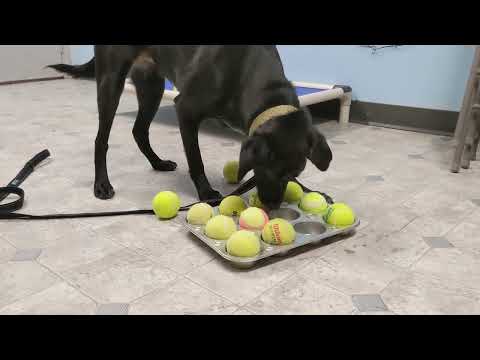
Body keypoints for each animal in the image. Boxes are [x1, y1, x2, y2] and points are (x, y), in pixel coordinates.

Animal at [49, 45, 334, 210]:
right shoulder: (185, 109)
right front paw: (206, 192)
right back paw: (102, 184)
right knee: (102, 139)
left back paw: (158, 162)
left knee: (139, 131)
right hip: (112, 81)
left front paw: (312, 191)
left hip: (152, 85)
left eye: (291, 173)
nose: (273, 206)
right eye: (268, 170)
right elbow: (196, 160)